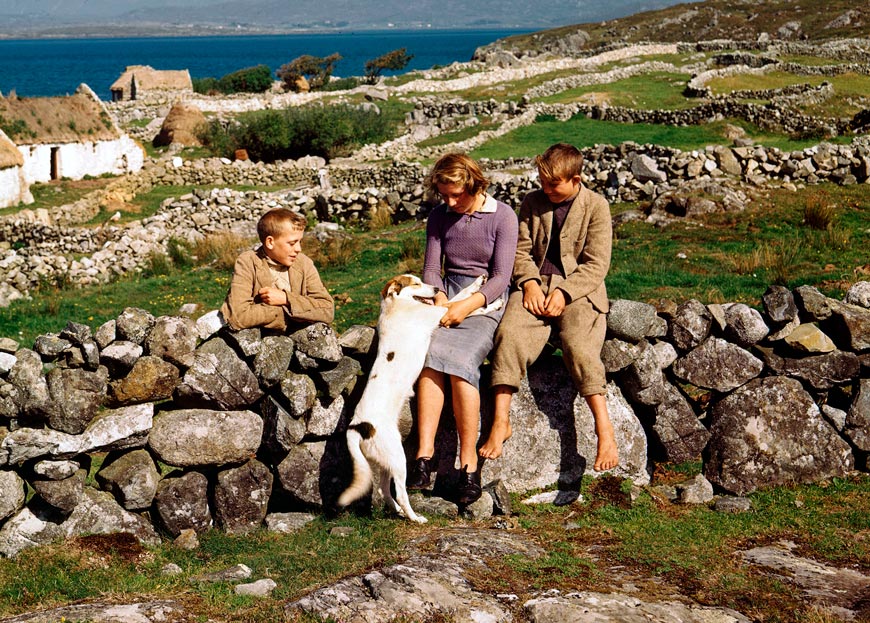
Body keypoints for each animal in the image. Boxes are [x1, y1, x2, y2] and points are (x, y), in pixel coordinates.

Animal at [340, 276, 504, 524]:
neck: (396, 305)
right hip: (397, 457)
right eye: (415, 284)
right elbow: (470, 307)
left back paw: (397, 511)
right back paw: (414, 517)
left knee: (383, 490)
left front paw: (478, 282)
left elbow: (464, 294)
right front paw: (493, 305)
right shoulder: (442, 313)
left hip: (383, 462)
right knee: (400, 492)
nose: (436, 289)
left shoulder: (442, 309)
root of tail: (357, 426)